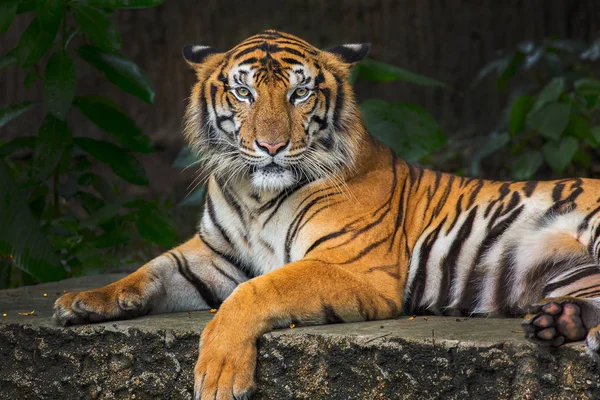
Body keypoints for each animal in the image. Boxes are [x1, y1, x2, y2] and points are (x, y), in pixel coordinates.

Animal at [54, 29, 600, 398]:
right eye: (244, 92)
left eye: (300, 93)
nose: (271, 146)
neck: (256, 197)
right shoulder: (214, 255)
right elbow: (150, 270)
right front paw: (84, 301)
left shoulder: (351, 267)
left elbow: (256, 291)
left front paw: (220, 374)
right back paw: (559, 324)